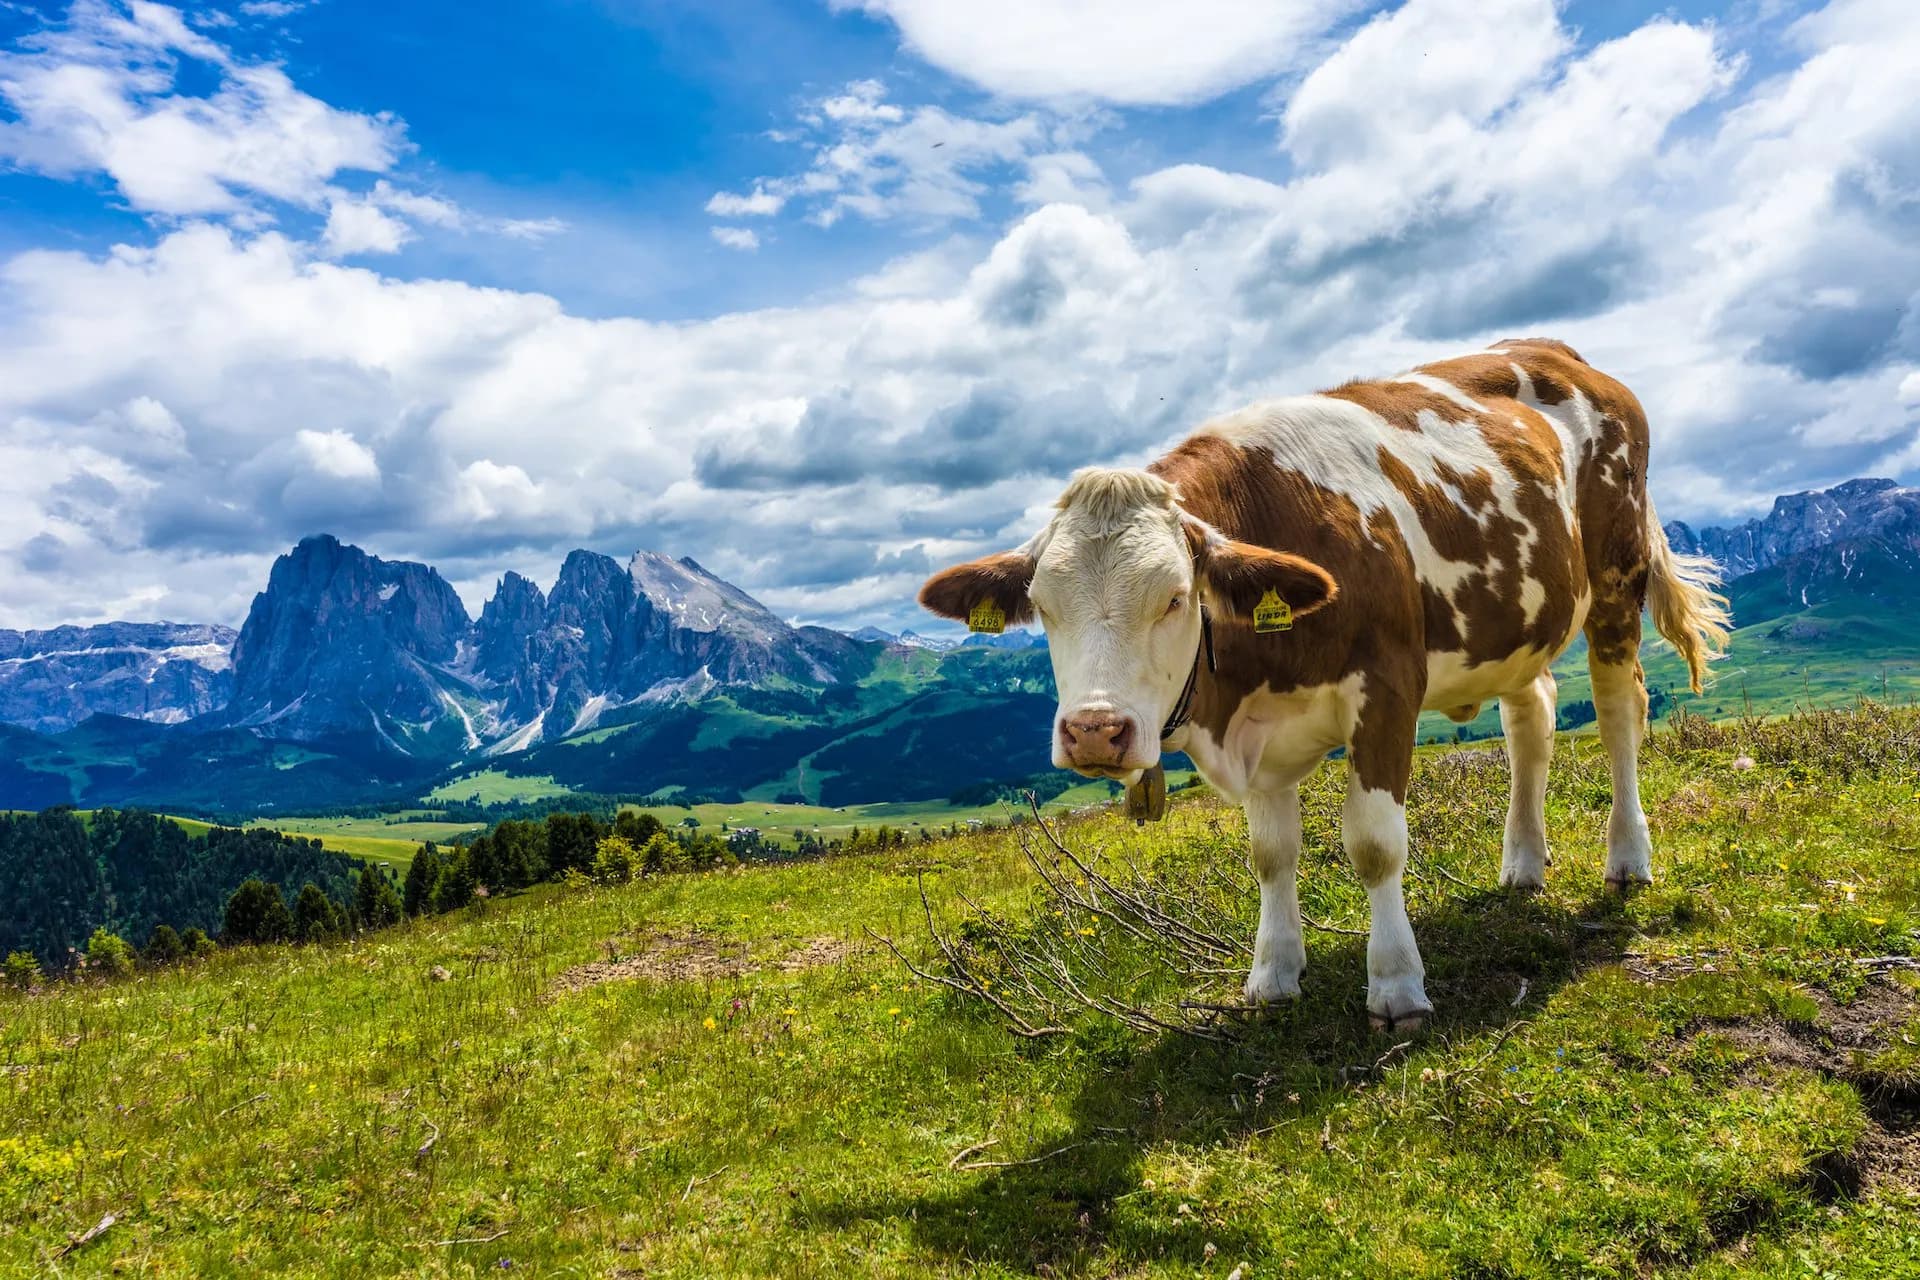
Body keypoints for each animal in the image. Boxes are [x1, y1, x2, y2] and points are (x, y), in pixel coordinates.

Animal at [919, 339, 1730, 1031]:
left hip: (1617, 577)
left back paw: (1627, 858)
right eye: (1043, 607)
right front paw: (1273, 974)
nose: (1094, 731)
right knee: (1531, 719)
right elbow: (1271, 854)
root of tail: (1563, 355)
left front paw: (1396, 984)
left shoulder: (1388, 690)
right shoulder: (1261, 732)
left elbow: (1374, 844)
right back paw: (1524, 863)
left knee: (1619, 713)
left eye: (1175, 598)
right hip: (1516, 627)